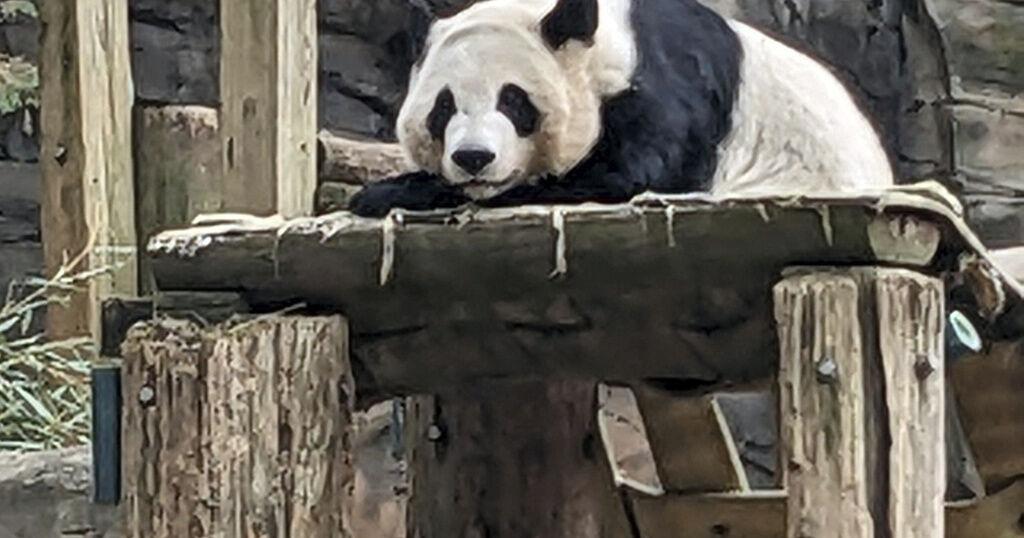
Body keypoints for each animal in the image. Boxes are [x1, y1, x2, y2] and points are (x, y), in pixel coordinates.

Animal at [348, 0, 895, 217]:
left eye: (514, 101)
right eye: (443, 108)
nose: (474, 158)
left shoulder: (666, 88)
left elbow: (622, 177)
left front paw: (391, 191)